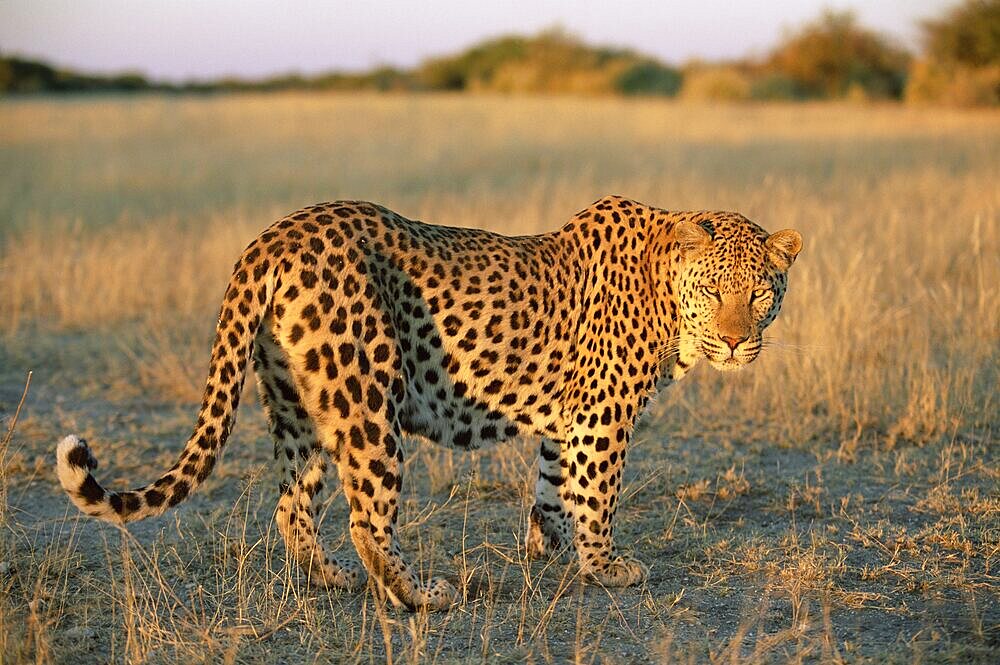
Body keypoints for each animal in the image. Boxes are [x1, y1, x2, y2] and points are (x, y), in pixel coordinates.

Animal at [56, 195, 804, 608]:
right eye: (714, 291)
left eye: (760, 293)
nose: (737, 342)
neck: (665, 293)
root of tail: (272, 236)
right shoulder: (603, 415)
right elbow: (597, 493)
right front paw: (605, 567)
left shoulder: (567, 419)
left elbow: (552, 486)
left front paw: (547, 550)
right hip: (366, 398)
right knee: (366, 517)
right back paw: (419, 596)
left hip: (300, 405)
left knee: (292, 502)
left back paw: (329, 579)